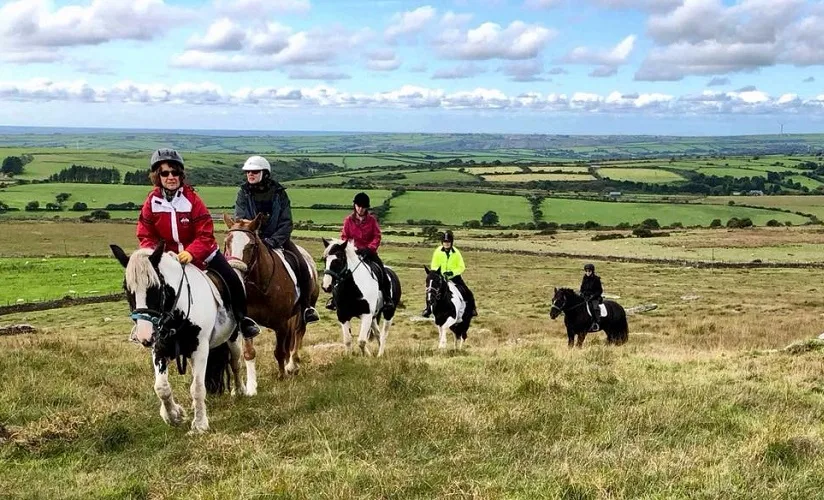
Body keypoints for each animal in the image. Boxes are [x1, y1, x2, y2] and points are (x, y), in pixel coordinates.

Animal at [109, 243, 251, 434]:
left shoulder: (200, 349)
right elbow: (161, 388)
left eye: (155, 288)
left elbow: (197, 387)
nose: (144, 336)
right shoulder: (160, 349)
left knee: (235, 363)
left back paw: (239, 391)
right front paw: (173, 415)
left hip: (233, 338)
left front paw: (199, 425)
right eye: (126, 287)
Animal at [222, 213, 318, 380]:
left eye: (251, 246)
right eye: (227, 242)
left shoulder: (281, 324)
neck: (259, 289)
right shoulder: (247, 325)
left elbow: (279, 351)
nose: (234, 274)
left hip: (303, 312)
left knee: (298, 334)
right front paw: (251, 384)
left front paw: (282, 376)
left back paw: (292, 365)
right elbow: (249, 353)